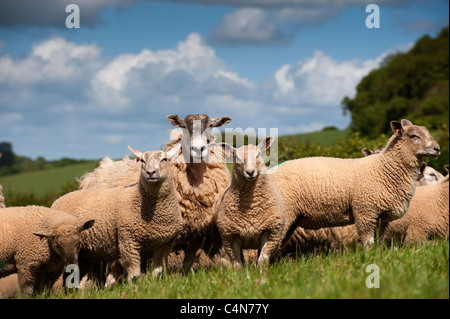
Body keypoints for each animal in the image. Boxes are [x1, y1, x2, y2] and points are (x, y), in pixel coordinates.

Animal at [52, 145, 185, 282]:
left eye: (165, 159)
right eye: (142, 160)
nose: (151, 172)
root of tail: (59, 199)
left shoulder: (165, 244)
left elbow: (157, 272)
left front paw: (153, 283)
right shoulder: (128, 241)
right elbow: (134, 274)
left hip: (84, 254)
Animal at [214, 136, 284, 268]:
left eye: (258, 154)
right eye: (237, 157)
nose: (250, 172)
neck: (251, 208)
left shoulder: (271, 232)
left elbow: (262, 259)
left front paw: (262, 271)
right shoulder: (230, 236)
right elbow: (237, 263)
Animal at [268, 120, 442, 248]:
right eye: (413, 135)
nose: (437, 149)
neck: (384, 169)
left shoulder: (382, 218)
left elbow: (379, 243)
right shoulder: (365, 212)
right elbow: (368, 244)